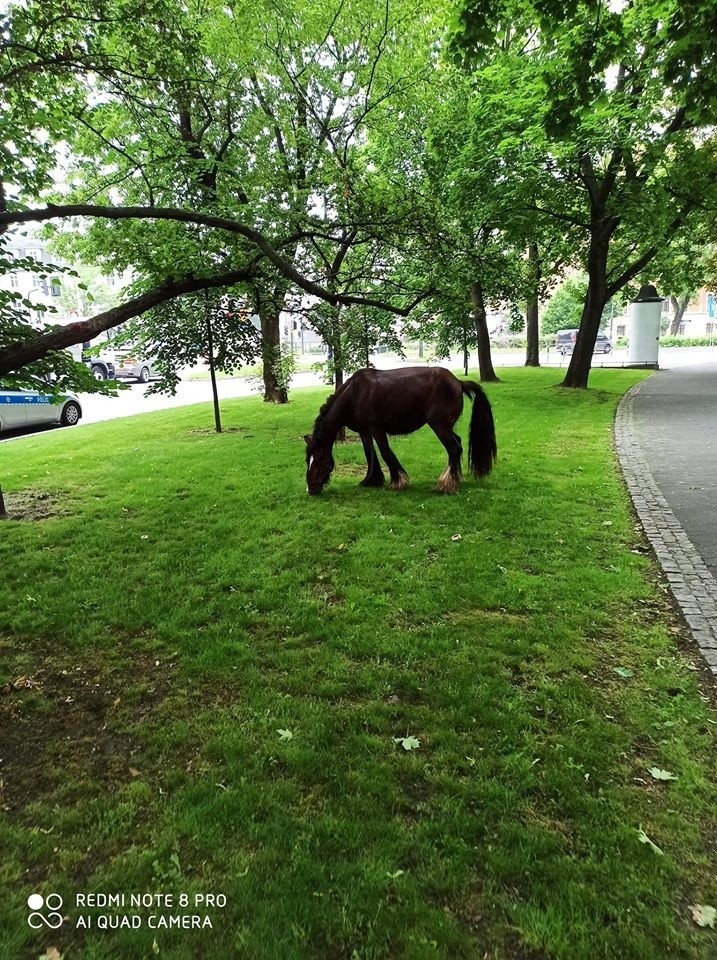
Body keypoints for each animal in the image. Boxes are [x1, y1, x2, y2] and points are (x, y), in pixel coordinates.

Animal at [304, 366, 498, 496]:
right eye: (308, 460)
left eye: (320, 461)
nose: (310, 489)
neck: (355, 394)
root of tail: (458, 382)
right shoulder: (364, 431)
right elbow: (369, 453)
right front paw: (371, 480)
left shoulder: (377, 429)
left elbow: (385, 451)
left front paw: (398, 481)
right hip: (446, 427)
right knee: (458, 444)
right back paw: (455, 478)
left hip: (439, 426)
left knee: (454, 448)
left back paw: (445, 484)